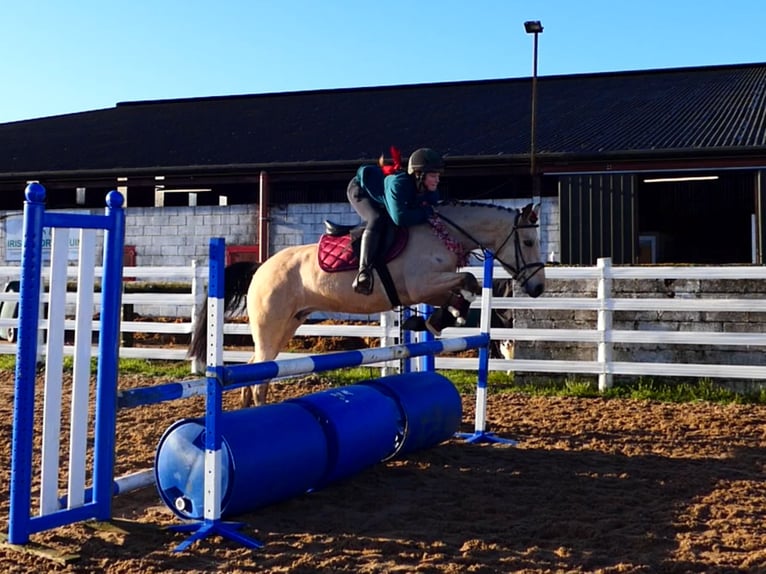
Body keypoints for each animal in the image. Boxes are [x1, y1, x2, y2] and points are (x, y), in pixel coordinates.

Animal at [189, 200, 546, 407]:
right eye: (529, 241)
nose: (539, 287)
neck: (441, 234)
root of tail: (261, 267)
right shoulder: (421, 285)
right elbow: (468, 281)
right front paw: (445, 317)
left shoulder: (427, 289)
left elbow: (461, 288)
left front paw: (437, 319)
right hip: (270, 326)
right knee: (259, 374)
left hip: (287, 325)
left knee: (254, 370)